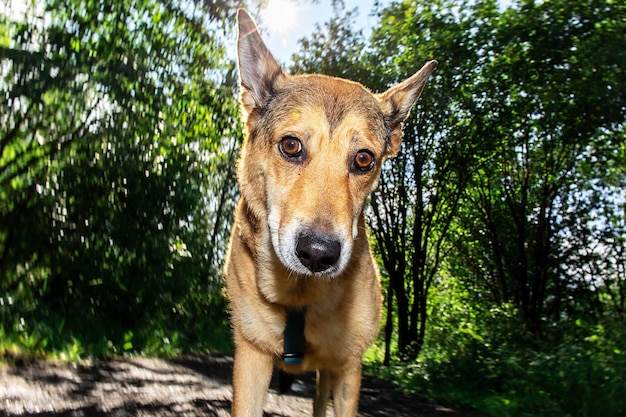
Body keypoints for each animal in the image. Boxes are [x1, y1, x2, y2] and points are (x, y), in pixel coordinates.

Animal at [223, 8, 434, 414]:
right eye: (291, 145)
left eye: (364, 159)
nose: (318, 254)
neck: (299, 294)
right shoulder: (251, 357)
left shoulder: (347, 367)